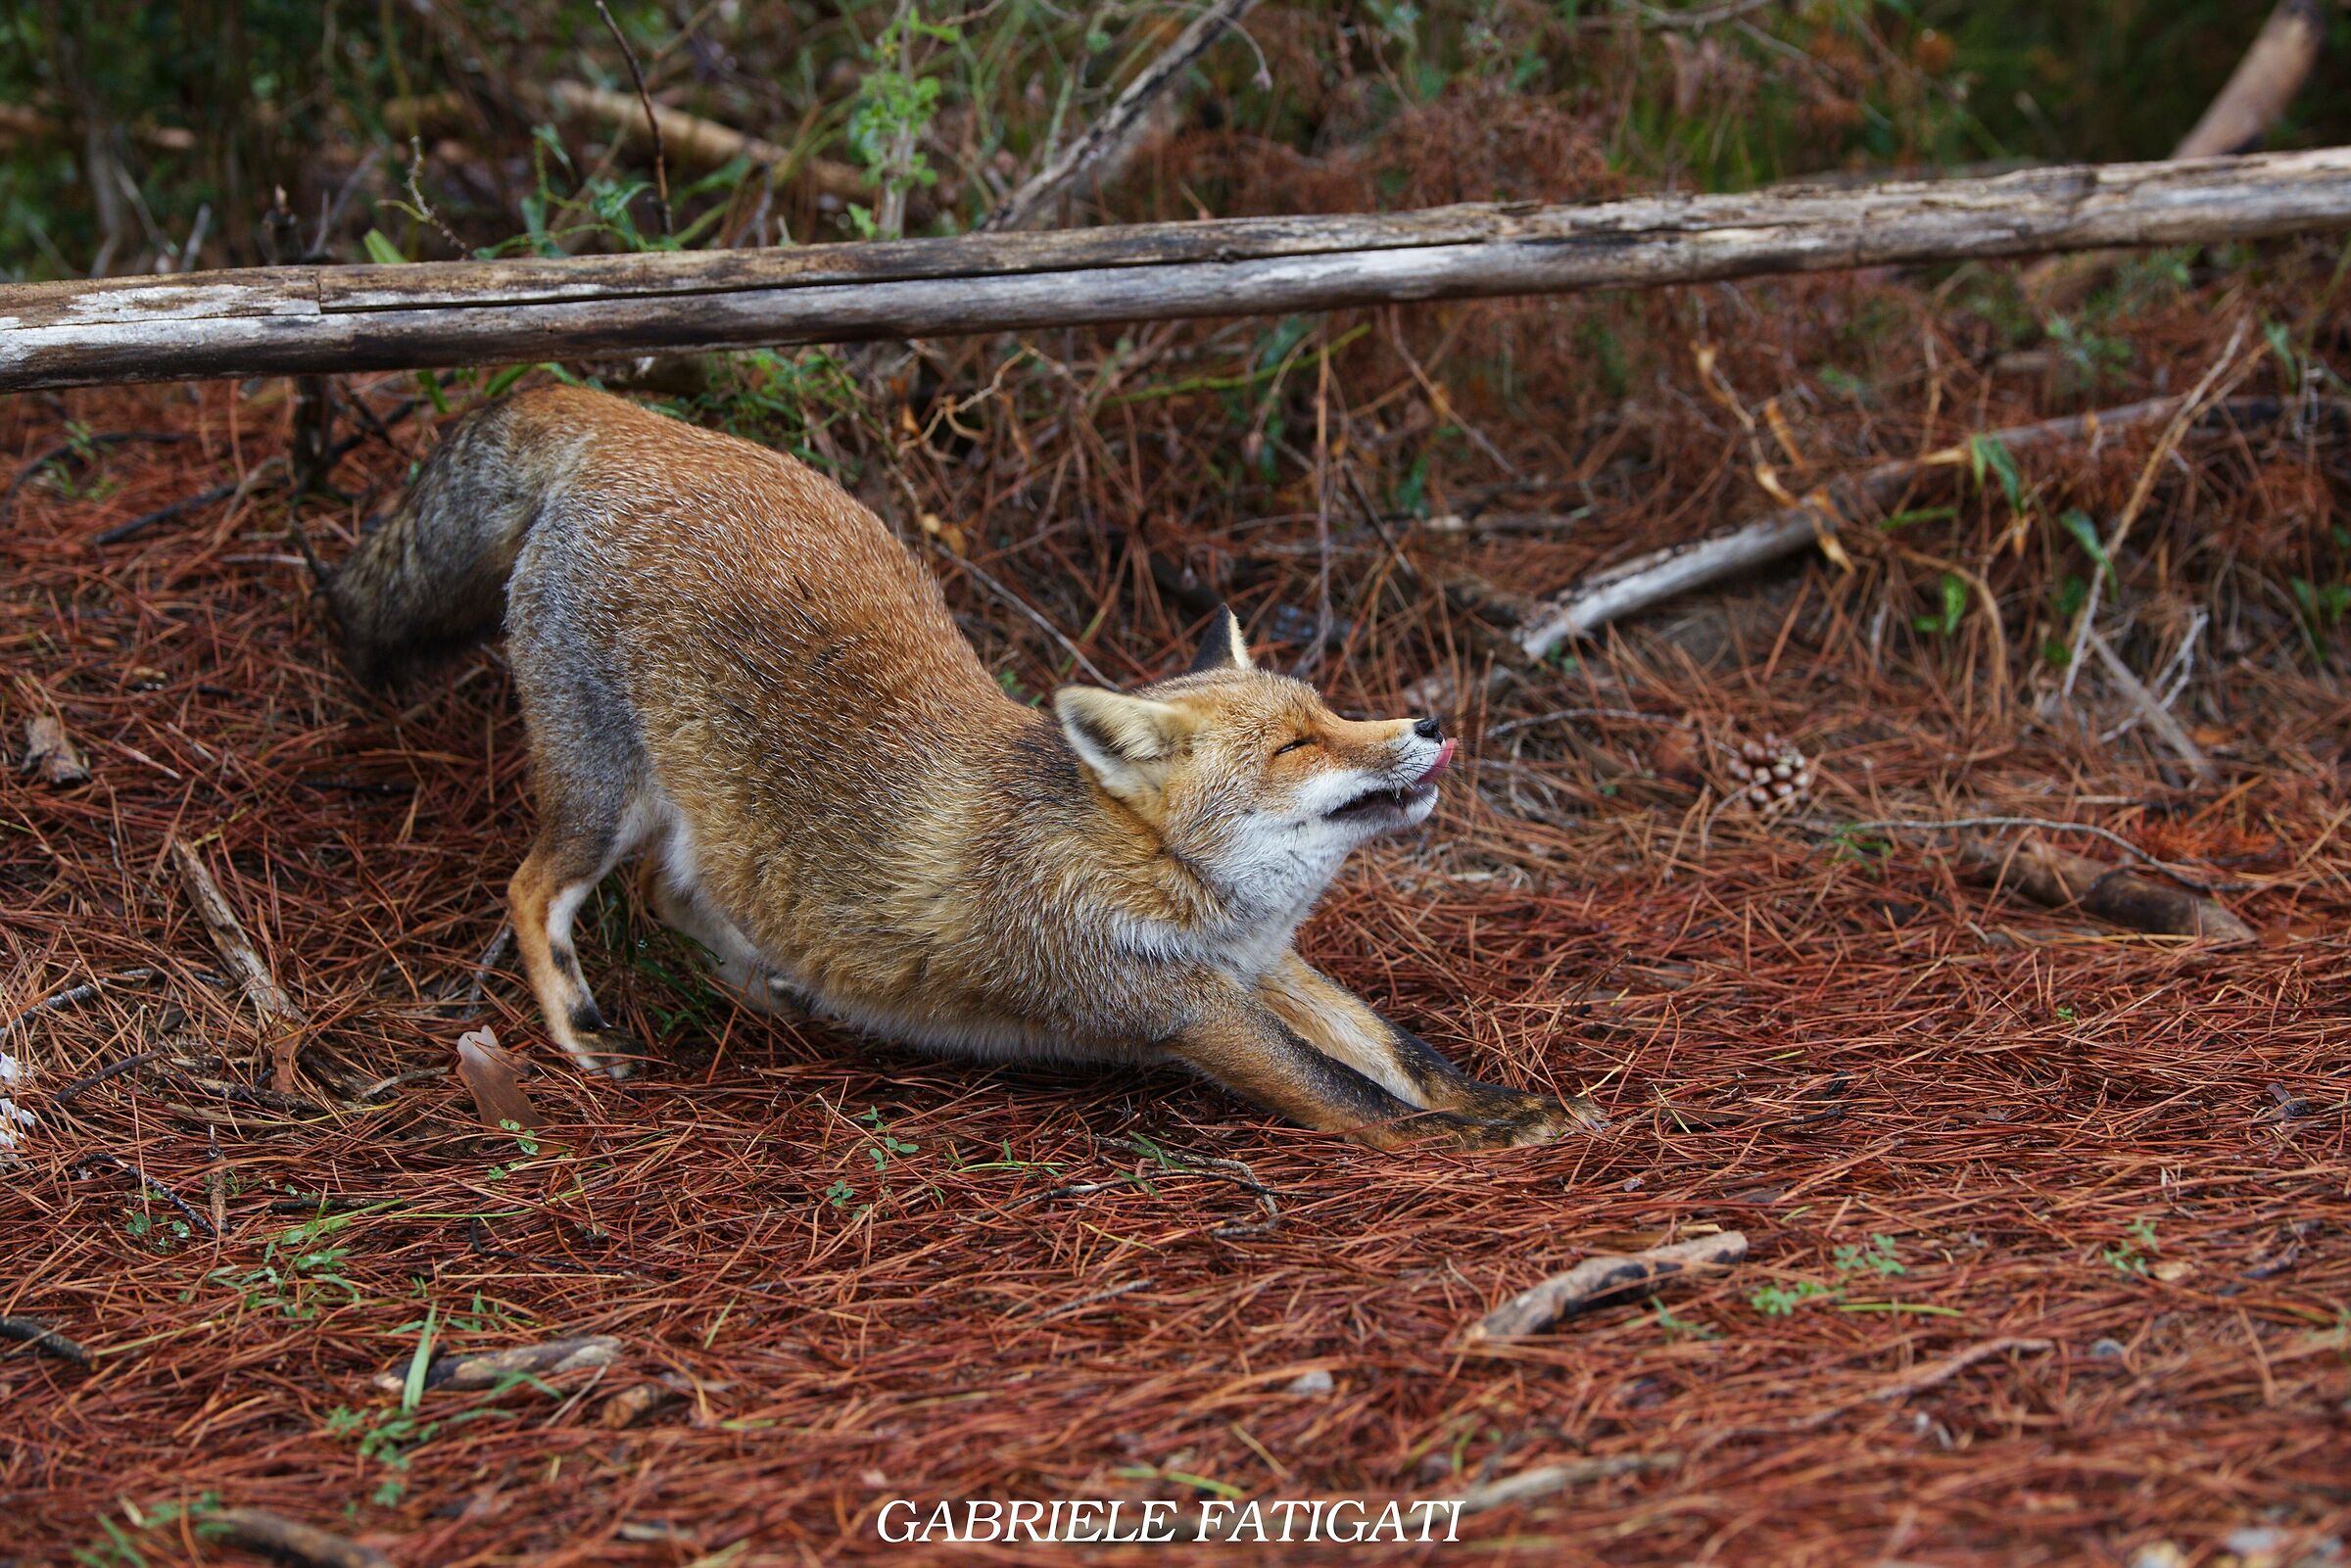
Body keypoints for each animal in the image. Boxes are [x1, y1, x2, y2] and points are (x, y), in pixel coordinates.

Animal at [320, 386, 1604, 1150]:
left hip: (692, 820)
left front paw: (1518, 1103)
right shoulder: (1177, 1004)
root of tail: (632, 419)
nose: (1430, 721)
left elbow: (1402, 1050)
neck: (1158, 879)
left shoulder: (1260, 966)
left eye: (1329, 707)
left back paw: (785, 995)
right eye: (1298, 746)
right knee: (534, 887)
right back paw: (583, 1032)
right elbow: (1354, 1096)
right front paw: (1475, 1144)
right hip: (604, 796)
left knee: (680, 896)